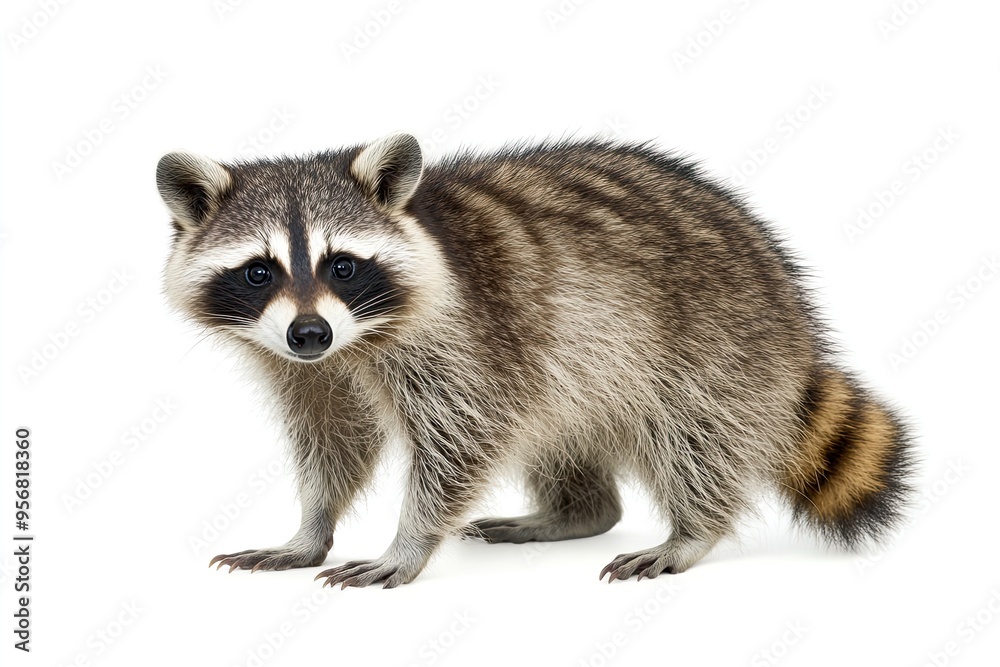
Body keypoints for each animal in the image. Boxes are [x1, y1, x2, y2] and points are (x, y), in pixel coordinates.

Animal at [157, 133, 914, 587]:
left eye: (343, 264)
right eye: (259, 272)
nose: (309, 333)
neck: (355, 342)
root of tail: (788, 295)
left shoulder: (468, 336)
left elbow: (461, 439)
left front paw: (409, 541)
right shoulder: (302, 365)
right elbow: (333, 438)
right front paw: (311, 526)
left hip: (715, 341)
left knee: (697, 436)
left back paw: (692, 531)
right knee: (559, 428)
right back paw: (578, 511)